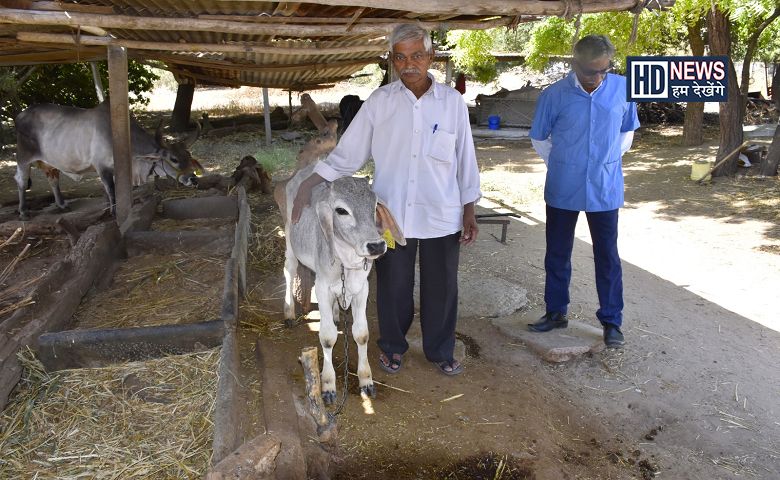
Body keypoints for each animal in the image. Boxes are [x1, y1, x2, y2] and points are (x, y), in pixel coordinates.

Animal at [14, 103, 203, 221]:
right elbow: (111, 190)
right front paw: (113, 212)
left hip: (50, 162)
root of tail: (20, 115)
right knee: (21, 181)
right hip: (23, 158)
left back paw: (62, 205)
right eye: (173, 159)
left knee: (53, 179)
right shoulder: (102, 167)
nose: (193, 179)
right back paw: (23, 212)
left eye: (189, 155)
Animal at [282, 163, 406, 404]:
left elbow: (361, 334)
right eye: (341, 211)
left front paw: (366, 381)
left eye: (375, 206)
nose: (376, 246)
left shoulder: (361, 289)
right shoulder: (322, 287)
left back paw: (336, 314)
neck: (346, 263)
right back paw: (289, 312)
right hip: (291, 243)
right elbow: (327, 337)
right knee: (289, 270)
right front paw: (328, 385)